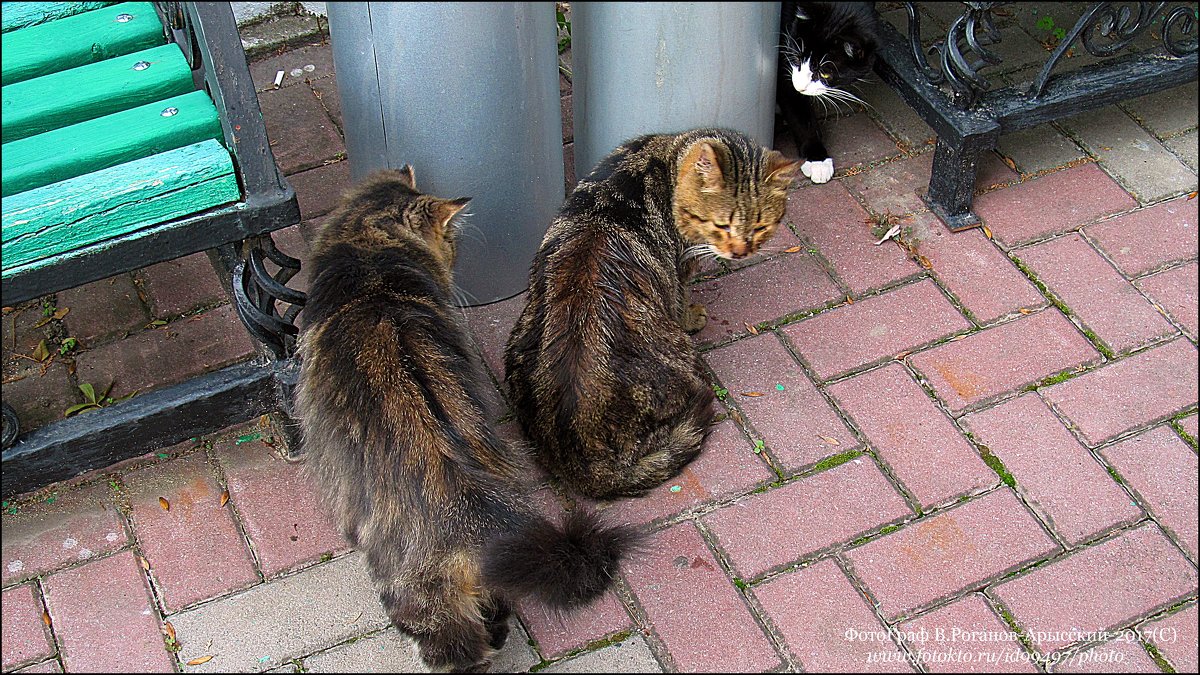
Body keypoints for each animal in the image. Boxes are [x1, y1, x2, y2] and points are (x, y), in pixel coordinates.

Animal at [501, 128, 801, 497]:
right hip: (680, 357)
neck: (667, 154)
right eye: (722, 226)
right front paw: (692, 315)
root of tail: (586, 468)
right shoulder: (680, 266)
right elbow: (681, 297)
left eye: (760, 227)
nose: (740, 251)